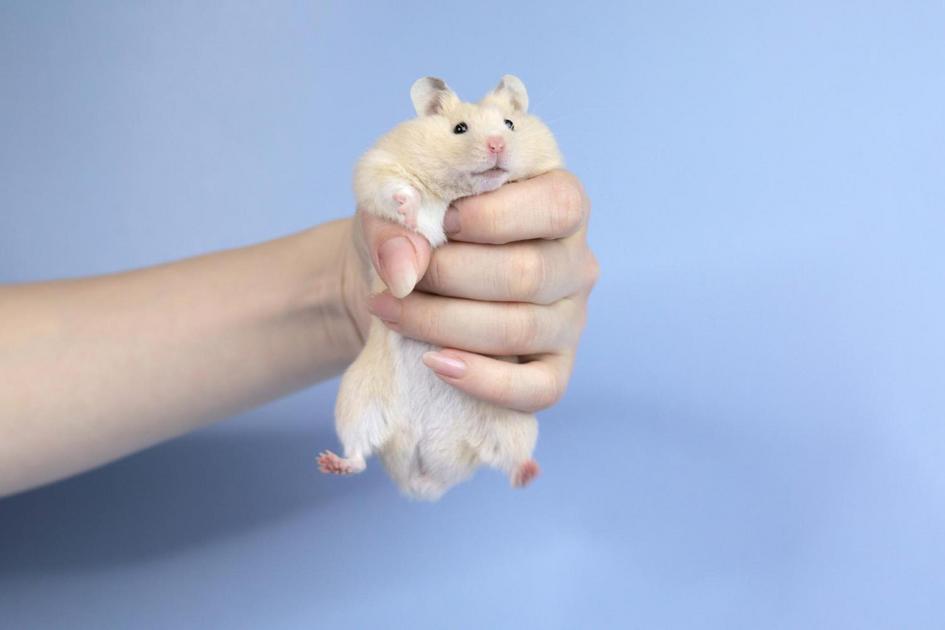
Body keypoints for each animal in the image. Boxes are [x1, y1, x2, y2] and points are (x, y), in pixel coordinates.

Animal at [318, 75, 563, 501]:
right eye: (459, 129)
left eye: (510, 124)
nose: (497, 145)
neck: (460, 191)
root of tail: (423, 477)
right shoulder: (377, 166)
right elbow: (399, 196)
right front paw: (408, 203)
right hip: (356, 401)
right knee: (359, 453)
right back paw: (329, 463)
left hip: (514, 422)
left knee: (507, 460)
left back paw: (529, 474)